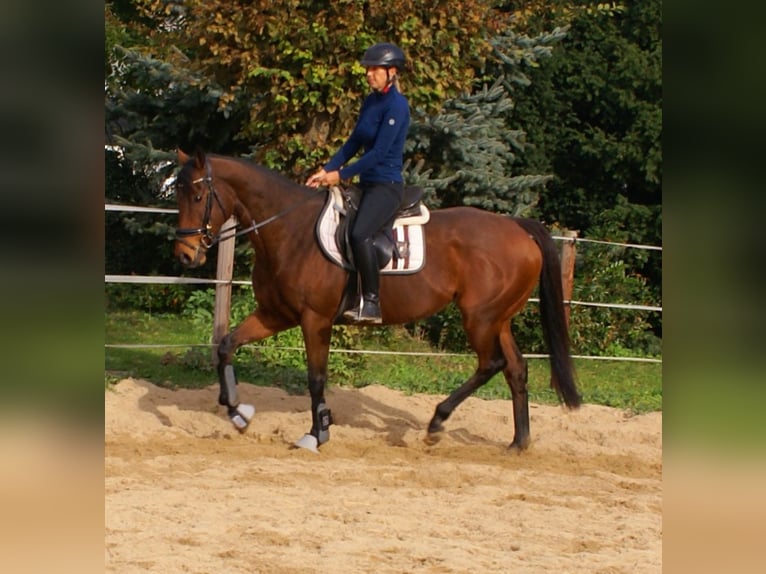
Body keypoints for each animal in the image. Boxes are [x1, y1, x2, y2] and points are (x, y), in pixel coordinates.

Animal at [174, 148, 584, 454]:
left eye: (197, 196)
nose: (185, 255)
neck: (290, 230)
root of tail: (517, 227)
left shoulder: (315, 319)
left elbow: (316, 378)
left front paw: (317, 433)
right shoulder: (276, 314)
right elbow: (226, 345)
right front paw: (238, 412)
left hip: (480, 317)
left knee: (492, 364)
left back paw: (437, 423)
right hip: (499, 319)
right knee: (516, 368)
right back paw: (518, 442)